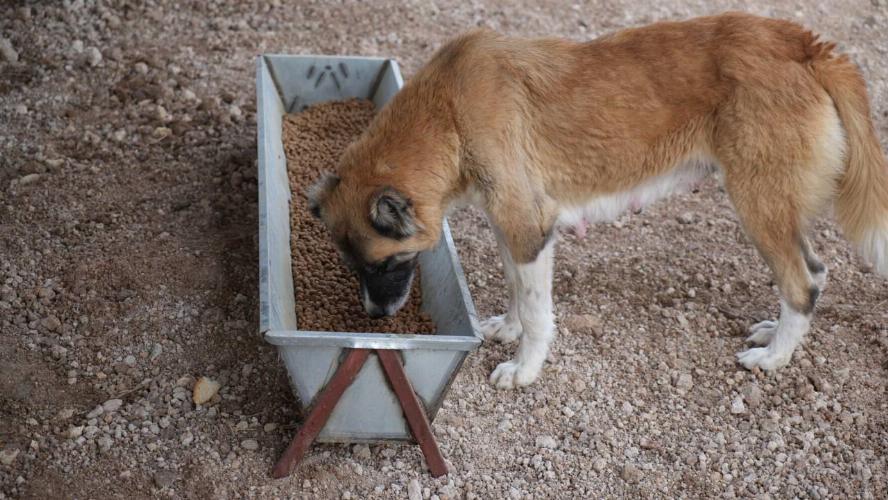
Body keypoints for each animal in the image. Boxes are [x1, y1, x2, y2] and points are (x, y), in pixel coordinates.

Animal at [310, 10, 888, 386]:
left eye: (385, 264)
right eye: (352, 267)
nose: (375, 318)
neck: (447, 112)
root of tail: (805, 42)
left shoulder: (529, 227)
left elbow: (538, 312)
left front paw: (524, 369)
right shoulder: (512, 226)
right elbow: (519, 289)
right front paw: (507, 328)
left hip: (758, 204)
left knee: (804, 281)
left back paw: (774, 358)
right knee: (813, 274)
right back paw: (773, 333)